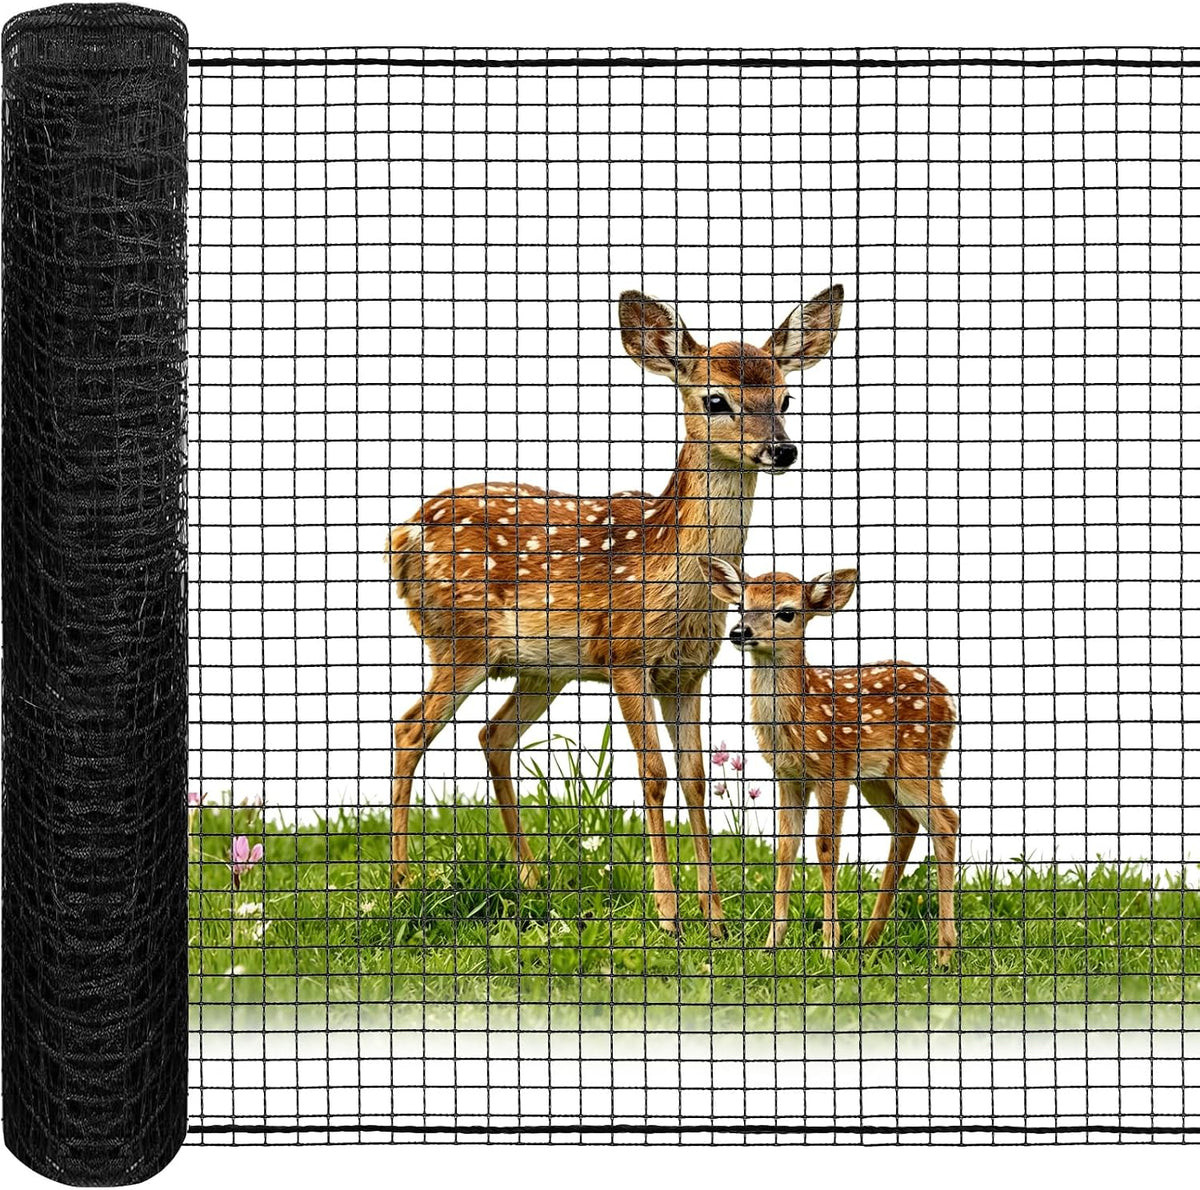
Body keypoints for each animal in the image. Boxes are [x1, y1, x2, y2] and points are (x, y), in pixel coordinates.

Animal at [386, 284, 844, 938]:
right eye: (716, 399)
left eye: (786, 396)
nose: (781, 449)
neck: (674, 577)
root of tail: (402, 535)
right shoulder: (625, 654)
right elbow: (653, 776)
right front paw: (669, 917)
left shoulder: (686, 671)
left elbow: (695, 778)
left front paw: (715, 920)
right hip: (459, 638)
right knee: (410, 729)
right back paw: (402, 886)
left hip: (538, 669)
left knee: (492, 735)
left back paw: (533, 885)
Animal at [700, 559, 959, 963]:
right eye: (741, 604)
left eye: (786, 612)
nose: (740, 632)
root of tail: (951, 701)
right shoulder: (789, 776)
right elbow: (785, 847)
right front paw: (772, 945)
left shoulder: (833, 773)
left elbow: (826, 849)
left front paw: (828, 947)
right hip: (876, 778)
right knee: (906, 826)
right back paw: (870, 940)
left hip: (916, 763)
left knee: (947, 824)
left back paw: (944, 952)